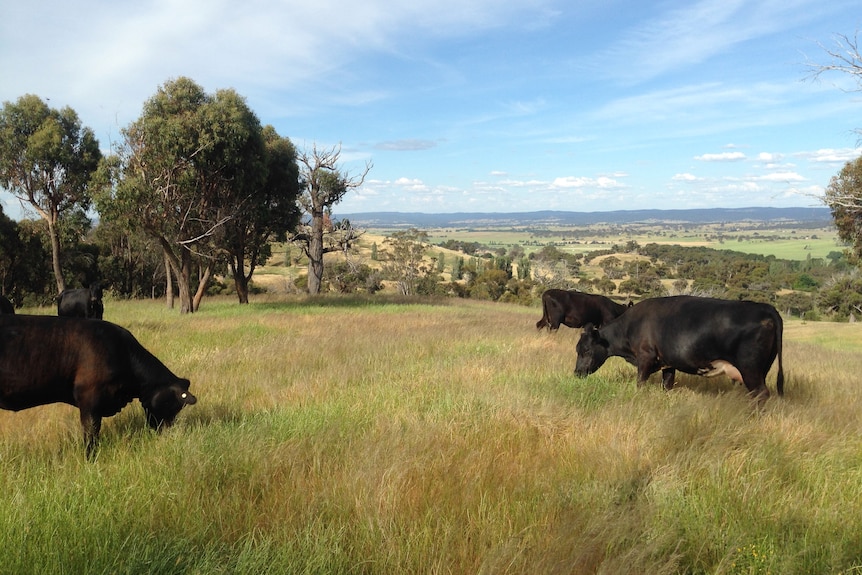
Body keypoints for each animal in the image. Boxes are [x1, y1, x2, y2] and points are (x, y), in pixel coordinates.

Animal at [576, 296, 788, 400]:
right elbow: (667, 386)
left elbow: (640, 384)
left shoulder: (645, 359)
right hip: (761, 369)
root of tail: (767, 308)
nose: (576, 373)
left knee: (761, 394)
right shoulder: (668, 363)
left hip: (749, 368)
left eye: (585, 350)